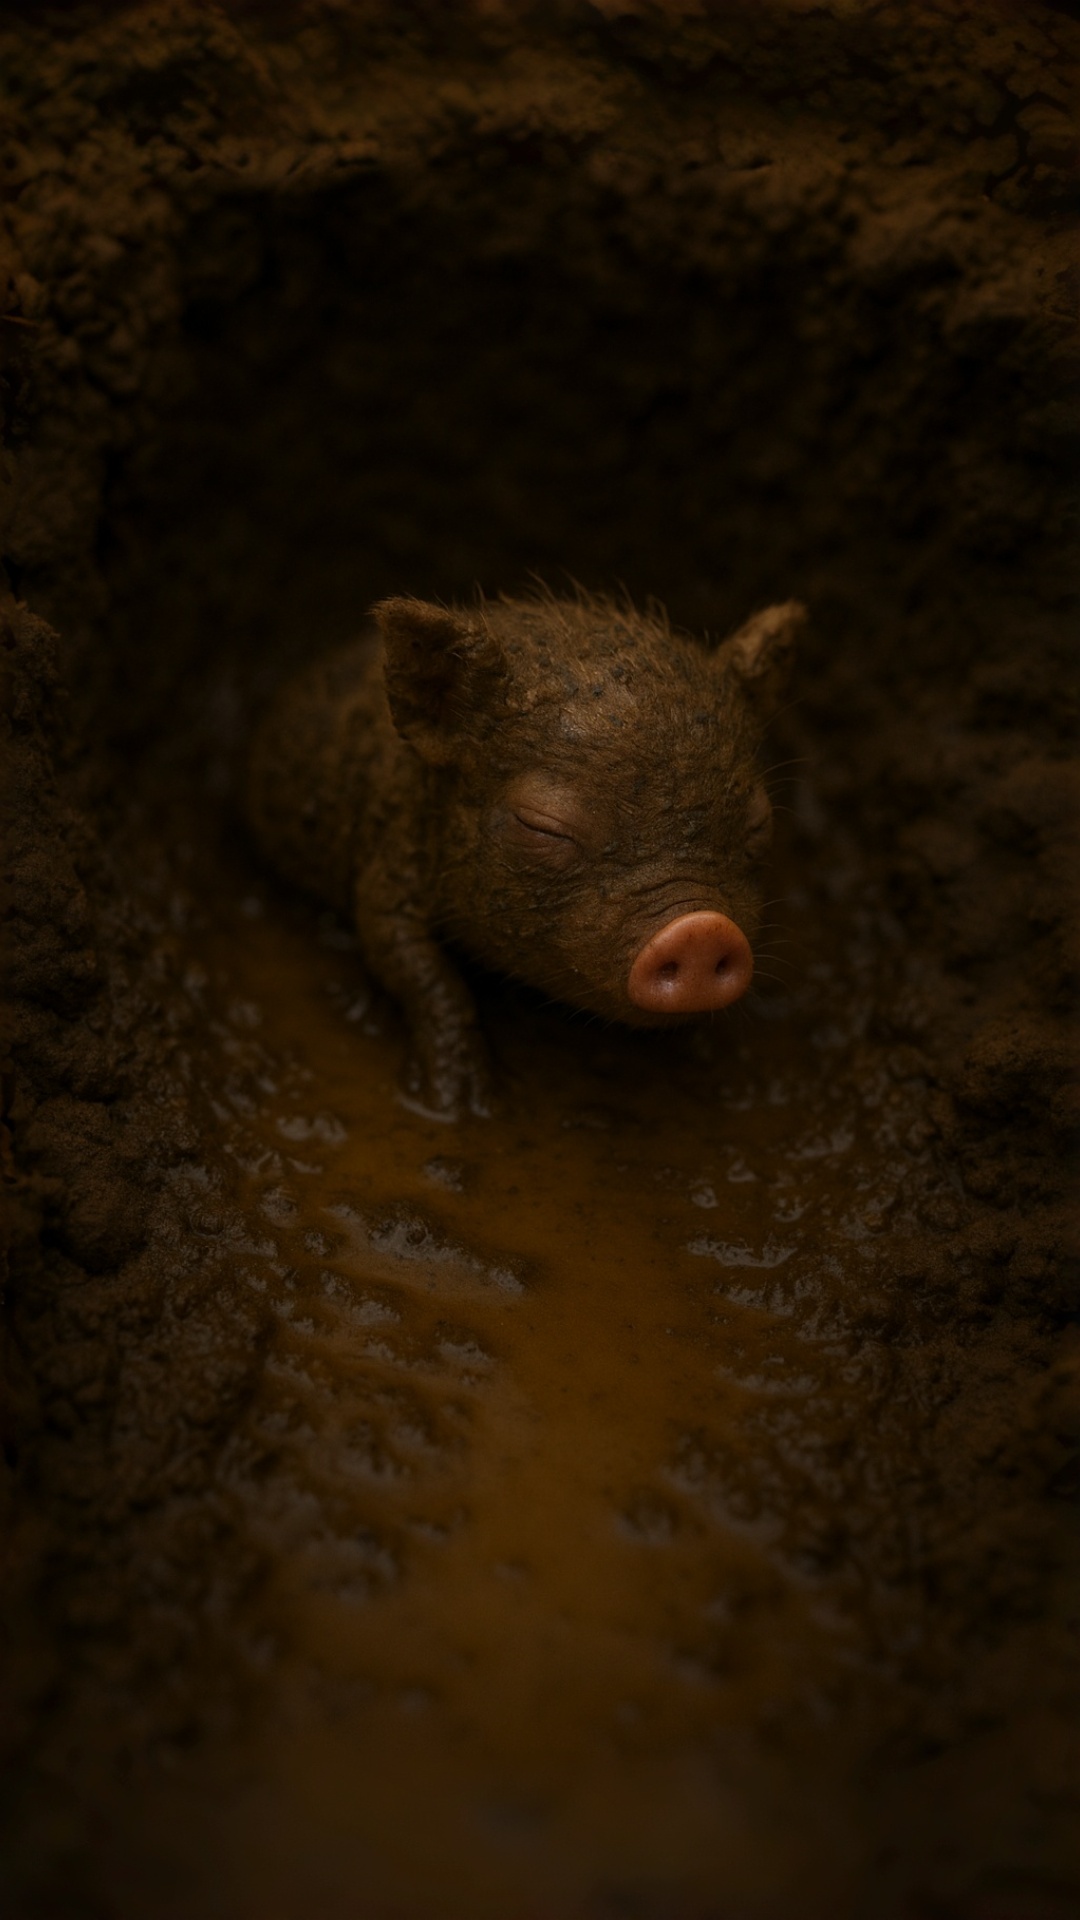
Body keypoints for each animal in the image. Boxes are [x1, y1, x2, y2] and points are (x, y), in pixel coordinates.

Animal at [246, 589, 805, 1118]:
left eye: (759, 823)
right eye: (542, 826)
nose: (701, 930)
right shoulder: (387, 867)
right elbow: (413, 965)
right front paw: (461, 1104)